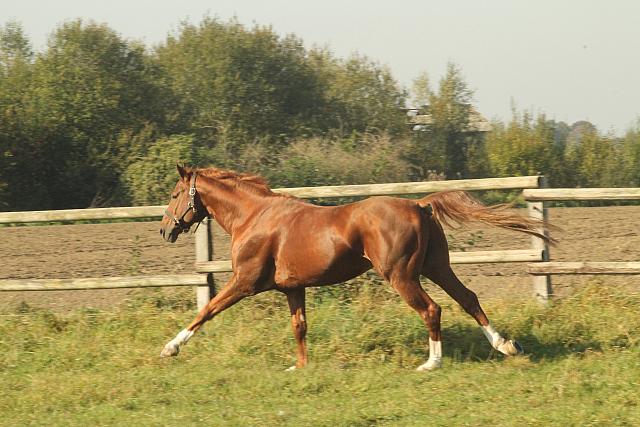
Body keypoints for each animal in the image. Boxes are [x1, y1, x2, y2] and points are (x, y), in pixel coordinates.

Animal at [160, 165, 552, 371]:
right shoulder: (293, 288)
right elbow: (299, 327)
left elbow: (205, 311)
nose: (165, 230)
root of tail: (419, 206)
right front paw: (300, 367)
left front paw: (170, 348)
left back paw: (432, 363)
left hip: (402, 275)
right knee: (468, 298)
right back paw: (506, 346)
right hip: (437, 267)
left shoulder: (244, 282)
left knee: (432, 309)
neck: (254, 217)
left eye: (176, 193)